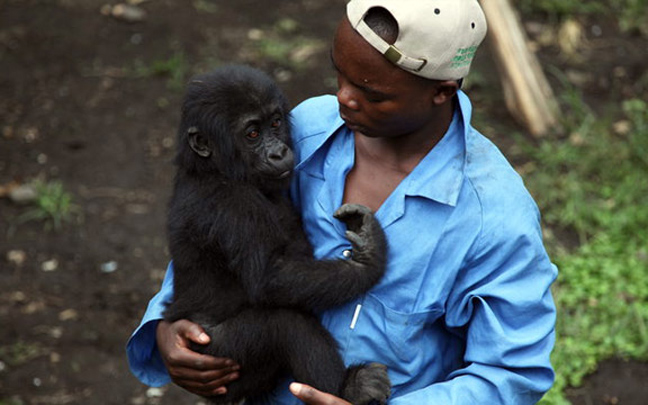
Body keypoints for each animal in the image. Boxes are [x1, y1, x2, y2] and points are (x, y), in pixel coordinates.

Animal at [165, 64, 392, 402]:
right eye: (252, 134)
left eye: (275, 123)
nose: (278, 152)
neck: (213, 170)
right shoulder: (233, 206)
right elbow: (271, 275)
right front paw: (369, 259)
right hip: (217, 352)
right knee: (286, 324)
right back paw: (349, 389)